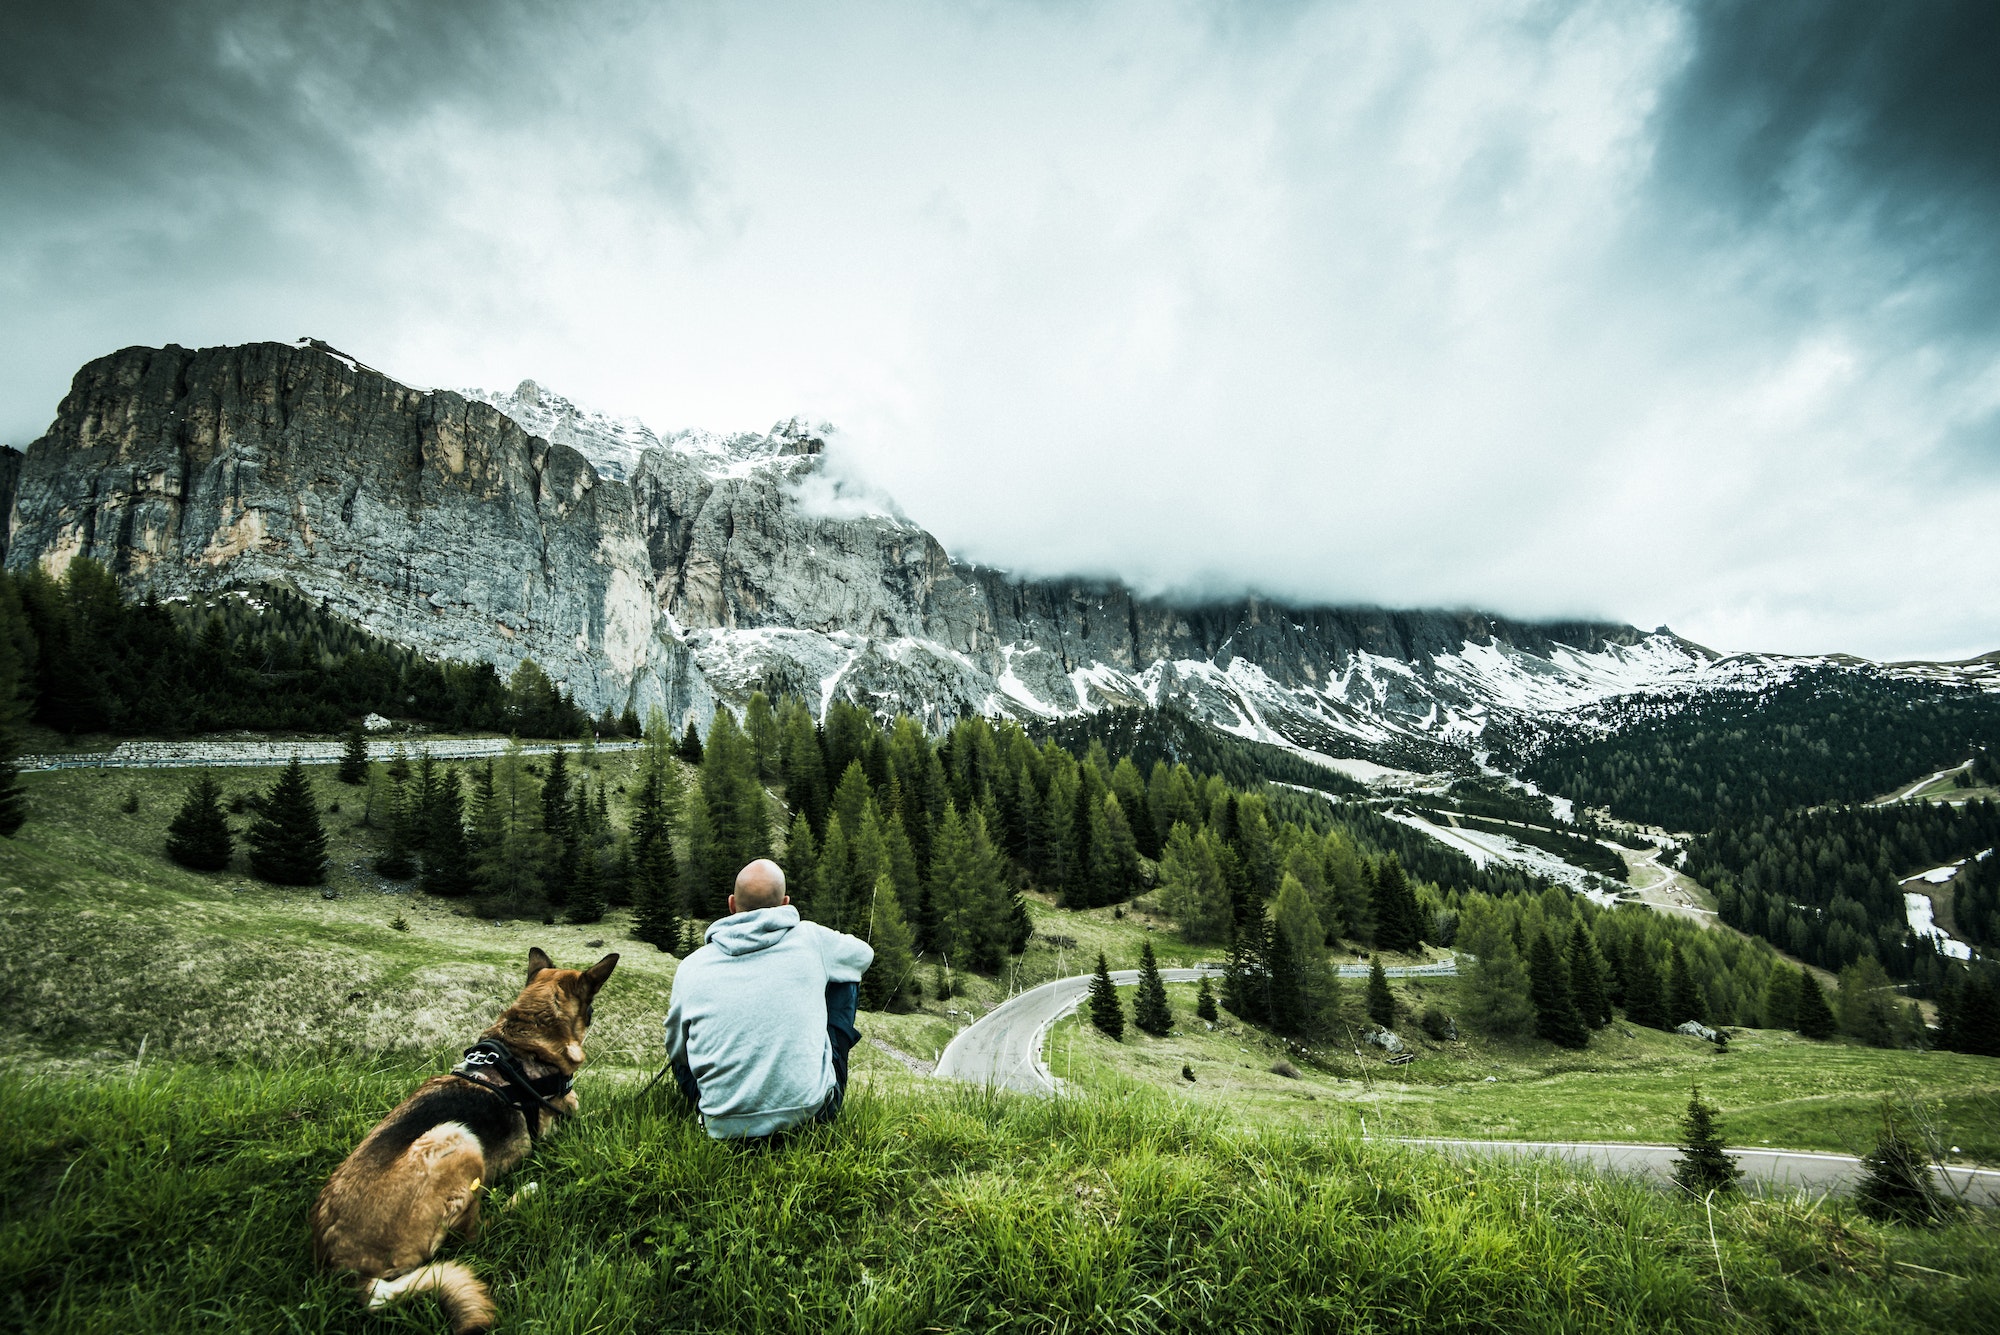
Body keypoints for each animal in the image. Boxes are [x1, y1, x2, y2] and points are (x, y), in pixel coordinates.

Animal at [306, 947, 608, 1335]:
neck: (525, 1041)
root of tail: (348, 1271)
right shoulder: (565, 1124)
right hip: (457, 1138)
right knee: (477, 1235)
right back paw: (525, 1195)